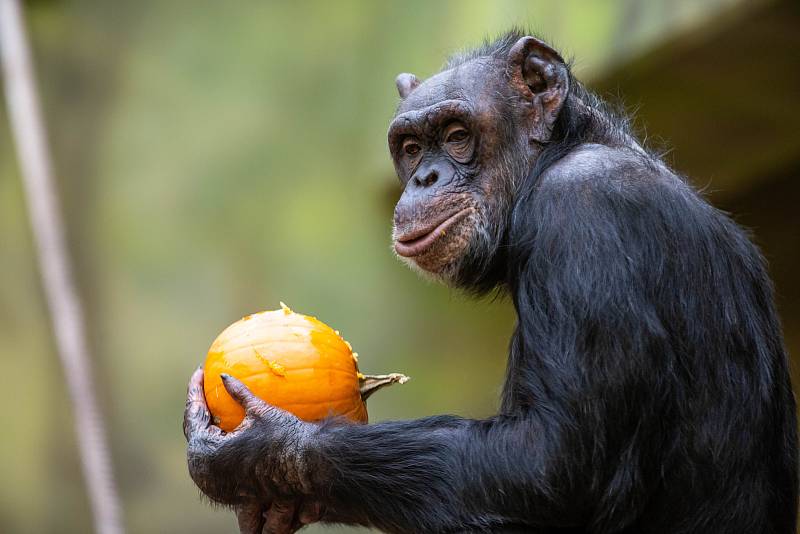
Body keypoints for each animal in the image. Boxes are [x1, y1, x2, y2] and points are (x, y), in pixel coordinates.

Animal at [183, 32, 800, 534]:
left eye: (456, 135)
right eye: (411, 147)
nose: (425, 177)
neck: (557, 159)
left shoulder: (583, 217)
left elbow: (549, 462)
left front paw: (266, 453)